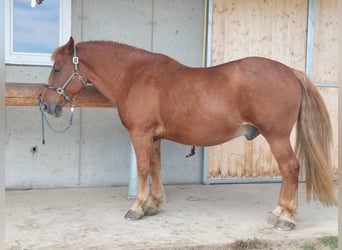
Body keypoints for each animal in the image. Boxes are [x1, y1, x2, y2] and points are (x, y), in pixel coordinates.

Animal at [41, 37, 336, 230]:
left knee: (290, 169)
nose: (47, 104)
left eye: (57, 68)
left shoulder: (140, 134)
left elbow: (143, 170)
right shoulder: (155, 137)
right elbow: (156, 168)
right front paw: (154, 205)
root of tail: (291, 71)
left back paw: (284, 216)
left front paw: (136, 208)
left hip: (276, 136)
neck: (135, 75)